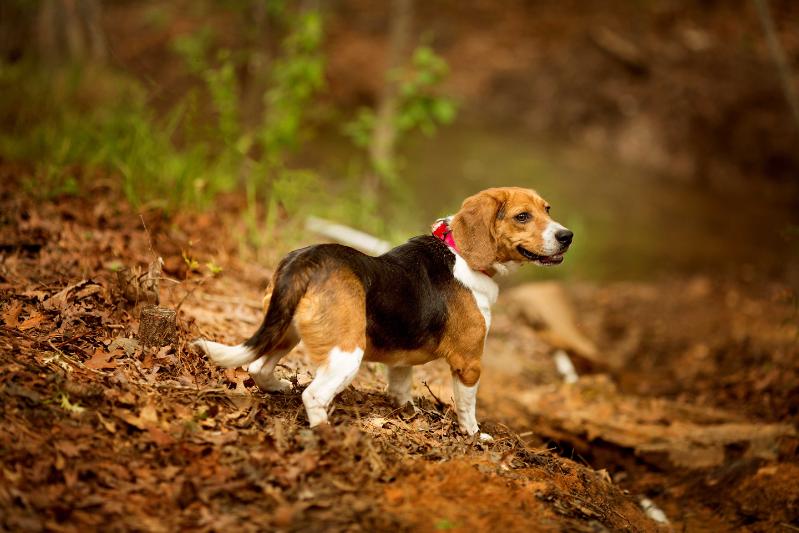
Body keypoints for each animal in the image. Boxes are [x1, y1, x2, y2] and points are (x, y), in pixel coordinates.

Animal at [195, 187, 576, 436]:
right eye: (522, 217)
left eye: (548, 209)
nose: (567, 236)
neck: (459, 252)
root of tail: (309, 259)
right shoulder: (469, 363)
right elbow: (467, 408)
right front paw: (474, 436)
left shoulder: (402, 361)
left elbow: (401, 389)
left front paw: (408, 413)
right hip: (346, 353)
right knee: (313, 395)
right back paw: (328, 434)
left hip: (285, 330)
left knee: (258, 367)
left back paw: (277, 387)